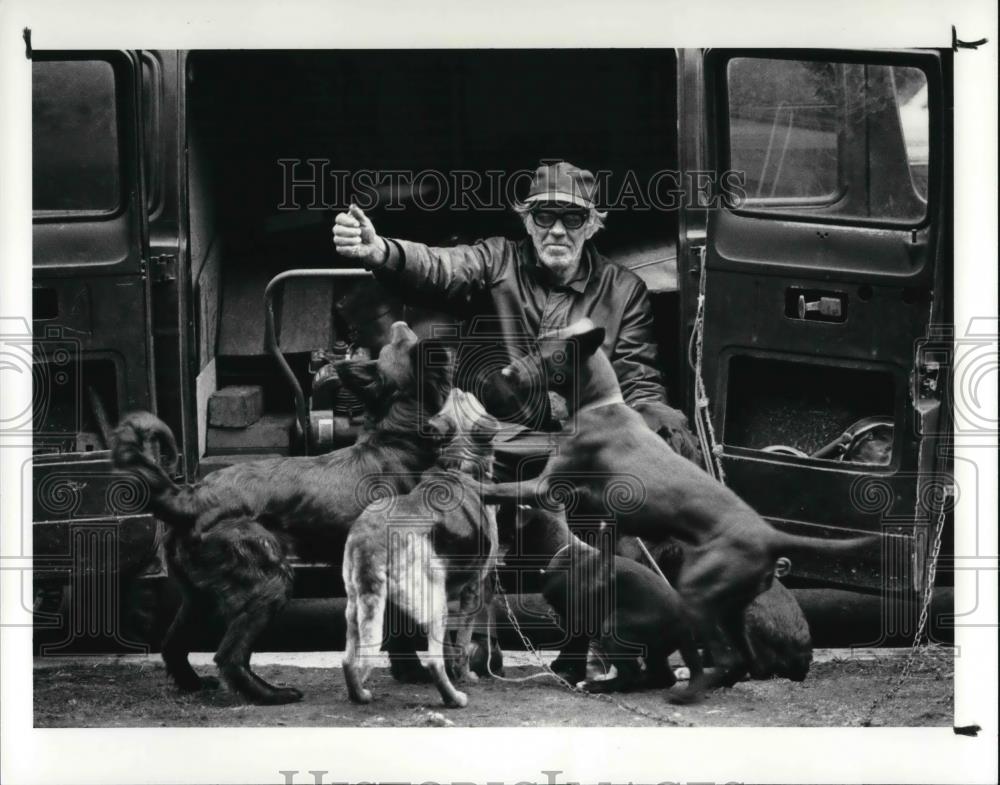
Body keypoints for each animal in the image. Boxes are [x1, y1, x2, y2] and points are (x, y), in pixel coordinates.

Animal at [342, 388, 500, 708]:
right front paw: (466, 675)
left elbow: (452, 647)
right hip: (434, 604)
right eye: (467, 400)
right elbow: (462, 645)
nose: (456, 388)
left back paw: (360, 693)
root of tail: (373, 542)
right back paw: (455, 698)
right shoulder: (473, 591)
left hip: (356, 606)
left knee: (350, 661)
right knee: (433, 663)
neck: (458, 464)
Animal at [508, 508, 704, 692]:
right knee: (662, 677)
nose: (504, 560)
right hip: (654, 651)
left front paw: (568, 673)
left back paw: (594, 685)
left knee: (630, 674)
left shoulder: (577, 620)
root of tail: (685, 625)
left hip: (615, 625)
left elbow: (574, 647)